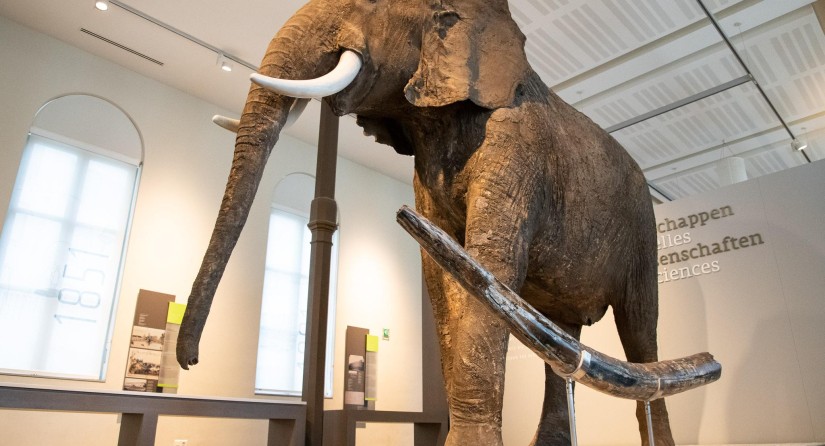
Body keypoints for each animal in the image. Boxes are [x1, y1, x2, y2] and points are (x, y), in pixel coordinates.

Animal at [177, 1, 672, 444]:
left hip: (643, 229)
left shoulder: (517, 148)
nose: (191, 361)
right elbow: (442, 272)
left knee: (640, 335)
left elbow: (490, 266)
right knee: (561, 337)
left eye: (370, 2)